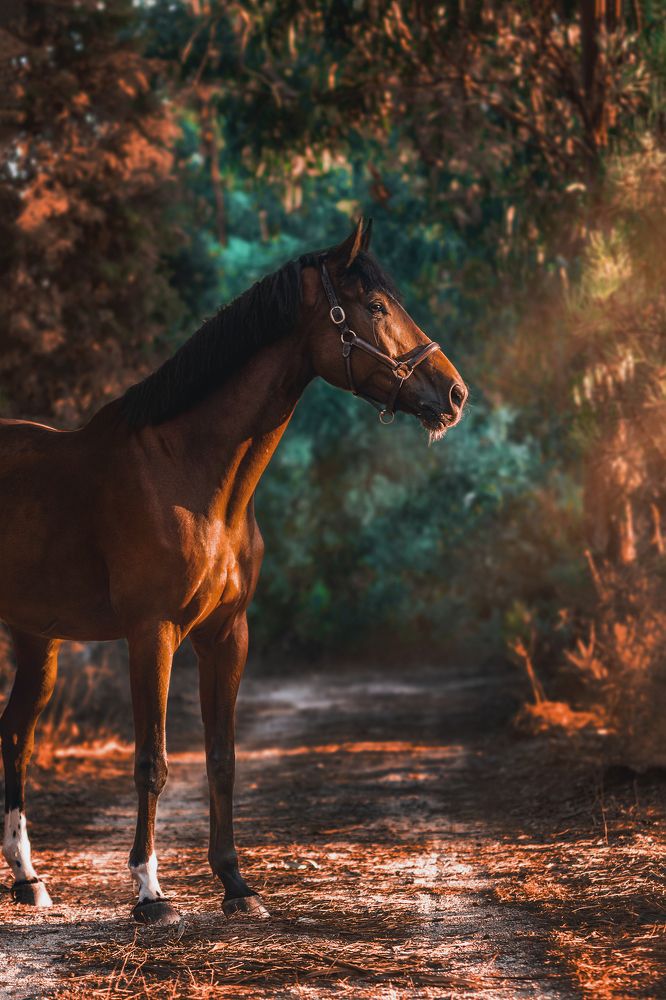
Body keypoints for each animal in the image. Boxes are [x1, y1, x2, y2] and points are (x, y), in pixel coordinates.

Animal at [0, 219, 467, 924]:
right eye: (376, 307)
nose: (454, 393)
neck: (188, 473)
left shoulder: (227, 634)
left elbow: (222, 757)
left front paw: (236, 885)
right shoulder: (153, 633)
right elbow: (153, 760)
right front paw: (150, 892)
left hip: (37, 640)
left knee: (15, 737)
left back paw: (29, 881)